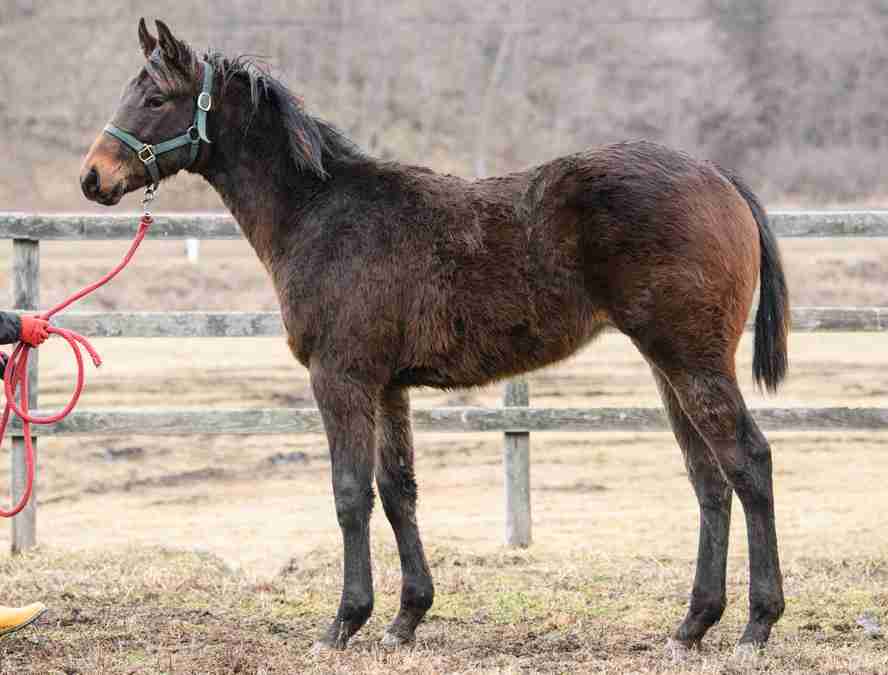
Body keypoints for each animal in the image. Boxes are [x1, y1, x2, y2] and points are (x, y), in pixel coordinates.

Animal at [80, 19, 789, 654]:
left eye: (153, 98)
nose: (93, 177)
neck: (320, 213)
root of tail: (720, 178)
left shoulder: (340, 378)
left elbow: (349, 494)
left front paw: (344, 623)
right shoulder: (389, 386)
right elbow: (398, 492)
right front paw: (405, 619)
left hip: (692, 362)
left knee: (748, 462)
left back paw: (757, 626)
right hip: (669, 369)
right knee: (708, 480)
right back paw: (693, 626)